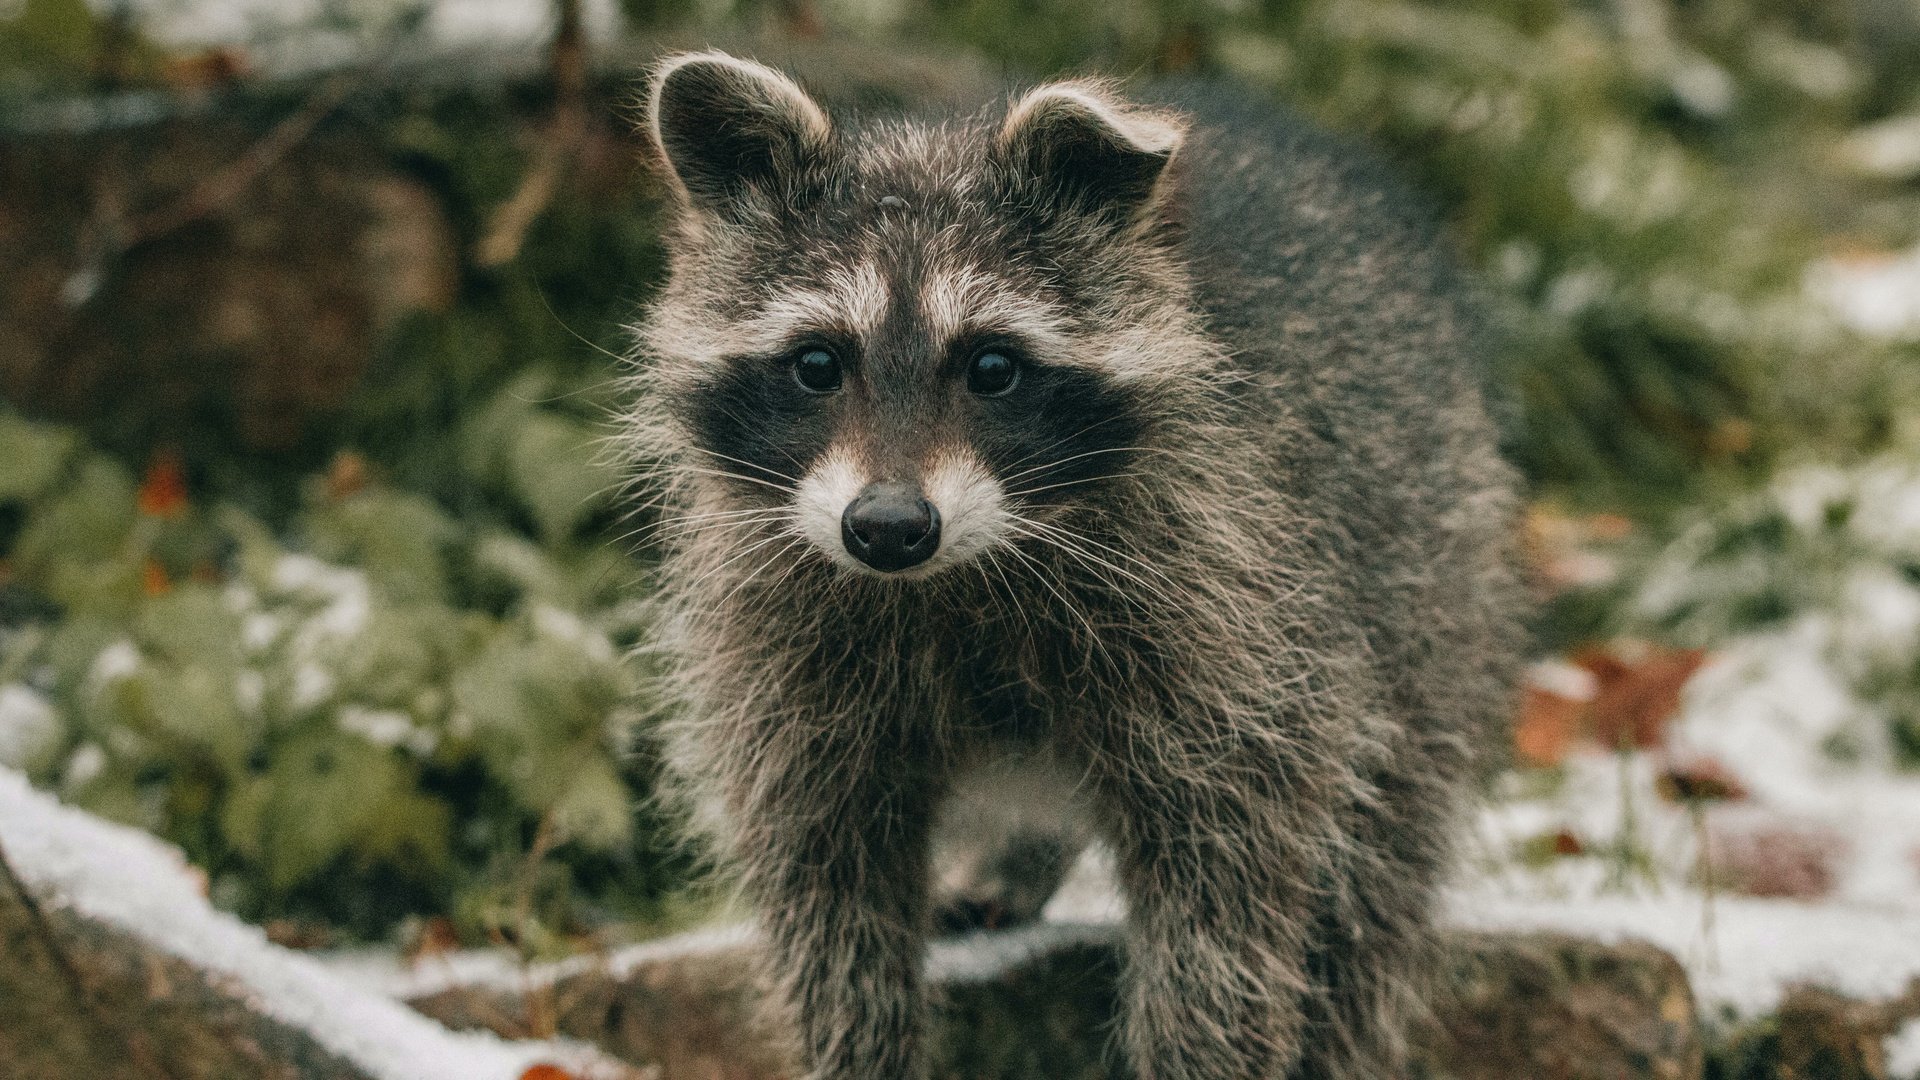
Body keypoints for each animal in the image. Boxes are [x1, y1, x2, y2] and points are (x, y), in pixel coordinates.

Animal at [625, 50, 1525, 1080]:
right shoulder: (787, 664)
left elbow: (1226, 901)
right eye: (818, 363)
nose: (888, 527)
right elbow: (829, 900)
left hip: (1424, 565)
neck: (951, 579)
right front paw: (858, 1049)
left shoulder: (1239, 612)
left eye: (992, 367)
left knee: (1377, 878)